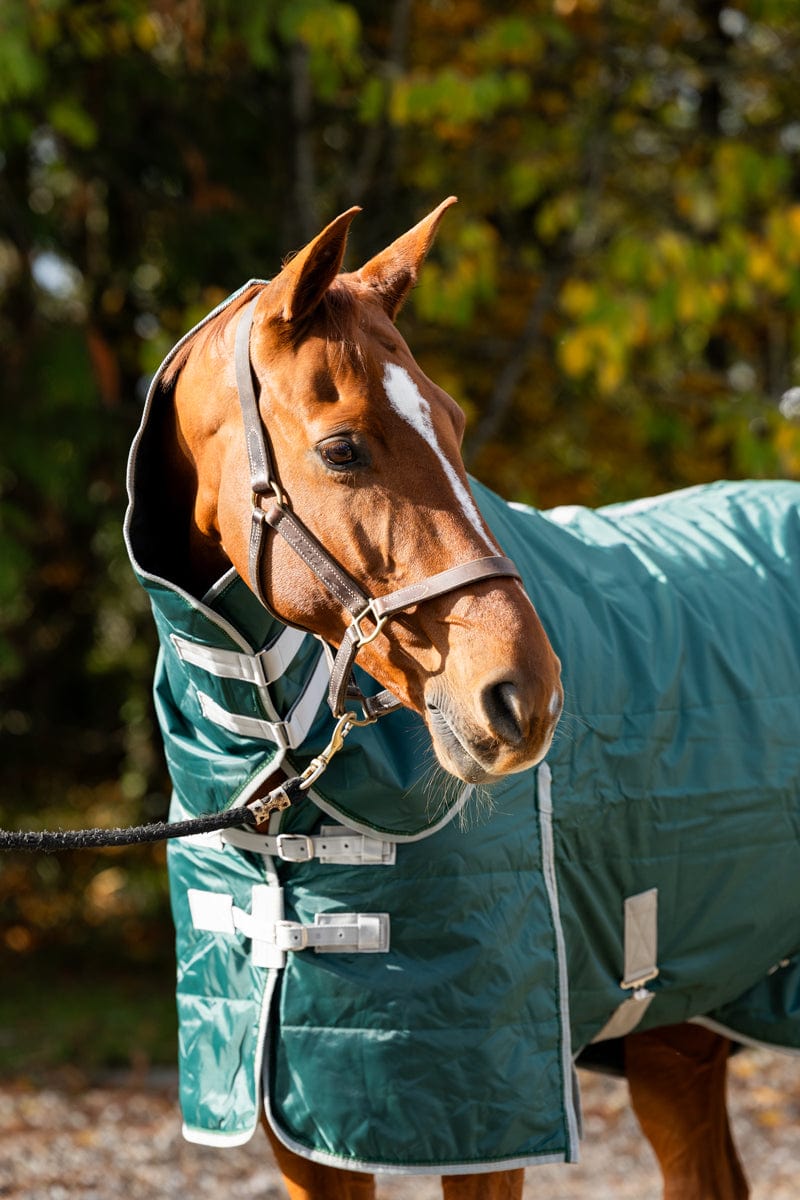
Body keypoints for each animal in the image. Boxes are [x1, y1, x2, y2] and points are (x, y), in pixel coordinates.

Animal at [124, 199, 799, 1200]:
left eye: (453, 422)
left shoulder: (489, 1107)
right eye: (341, 446)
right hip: (678, 1031)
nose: (527, 696)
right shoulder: (304, 1125)